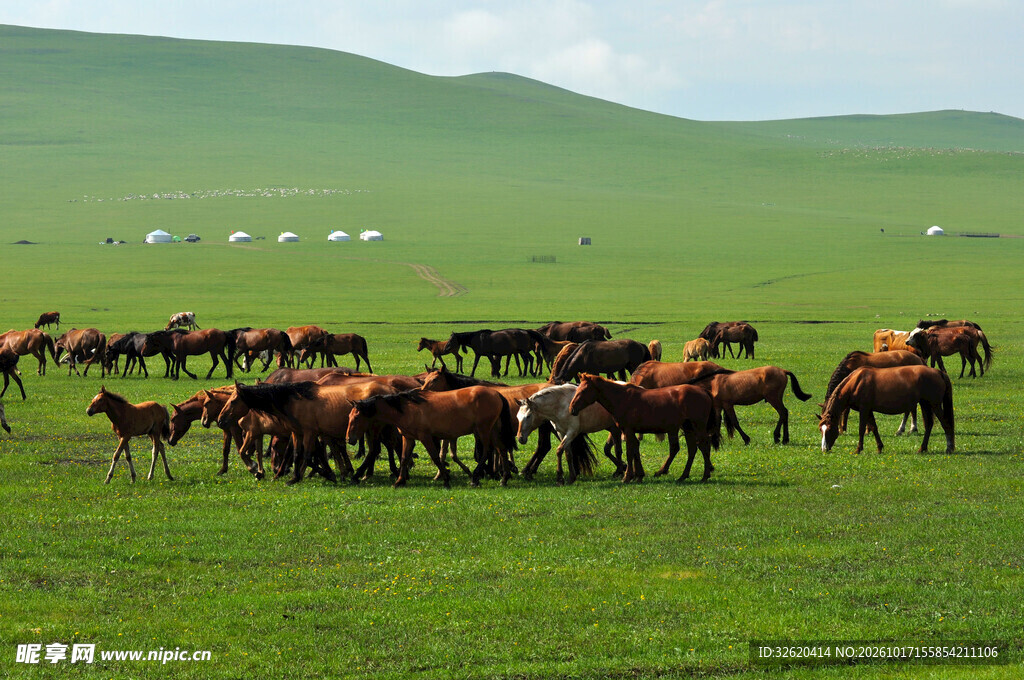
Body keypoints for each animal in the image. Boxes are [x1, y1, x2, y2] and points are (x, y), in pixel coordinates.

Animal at [347, 387, 517, 488]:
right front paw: (399, 481)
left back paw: (475, 477)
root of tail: (496, 393)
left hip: (483, 430)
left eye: (356, 417)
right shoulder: (408, 438)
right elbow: (404, 458)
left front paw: (446, 479)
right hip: (492, 429)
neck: (407, 408)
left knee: (487, 452)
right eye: (349, 416)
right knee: (501, 449)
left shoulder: (425, 437)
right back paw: (504, 478)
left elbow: (435, 457)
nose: (349, 439)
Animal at [568, 373, 717, 484]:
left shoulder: (628, 431)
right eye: (577, 389)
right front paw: (638, 475)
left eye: (583, 390)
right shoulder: (630, 432)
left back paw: (705, 476)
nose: (572, 409)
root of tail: (704, 391)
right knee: (692, 449)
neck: (622, 399)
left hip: (697, 426)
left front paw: (627, 477)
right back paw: (682, 476)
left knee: (703, 446)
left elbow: (629, 452)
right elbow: (635, 450)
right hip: (687, 428)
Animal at [820, 366, 954, 454]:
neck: (856, 382)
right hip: (925, 404)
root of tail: (938, 372)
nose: (824, 449)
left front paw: (858, 449)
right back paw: (922, 448)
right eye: (821, 429)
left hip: (934, 405)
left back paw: (949, 448)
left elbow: (861, 429)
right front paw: (879, 447)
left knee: (946, 424)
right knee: (929, 425)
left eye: (830, 429)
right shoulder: (869, 410)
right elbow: (874, 428)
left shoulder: (864, 409)